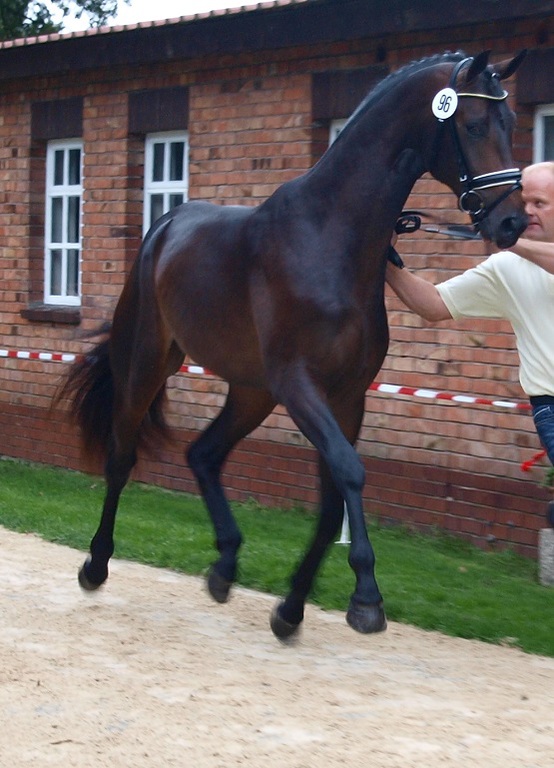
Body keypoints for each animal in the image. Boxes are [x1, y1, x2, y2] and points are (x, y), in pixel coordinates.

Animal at [59, 50, 528, 639]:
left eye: (511, 123)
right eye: (474, 125)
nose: (512, 222)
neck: (329, 239)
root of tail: (165, 226)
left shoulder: (347, 395)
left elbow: (332, 501)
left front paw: (291, 609)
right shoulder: (301, 385)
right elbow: (349, 474)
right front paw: (366, 599)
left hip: (252, 391)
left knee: (204, 453)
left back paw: (225, 566)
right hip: (148, 364)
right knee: (122, 456)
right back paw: (95, 565)